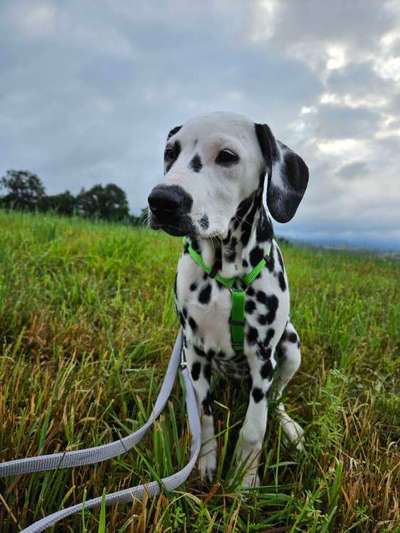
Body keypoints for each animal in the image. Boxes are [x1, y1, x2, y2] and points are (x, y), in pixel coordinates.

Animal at [148, 111, 308, 486]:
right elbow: (205, 416)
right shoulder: (195, 351)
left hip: (291, 348)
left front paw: (245, 480)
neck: (226, 276)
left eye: (227, 156)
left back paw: (290, 429)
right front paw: (207, 462)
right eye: (170, 152)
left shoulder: (263, 358)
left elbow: (254, 426)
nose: (161, 200)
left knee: (277, 400)